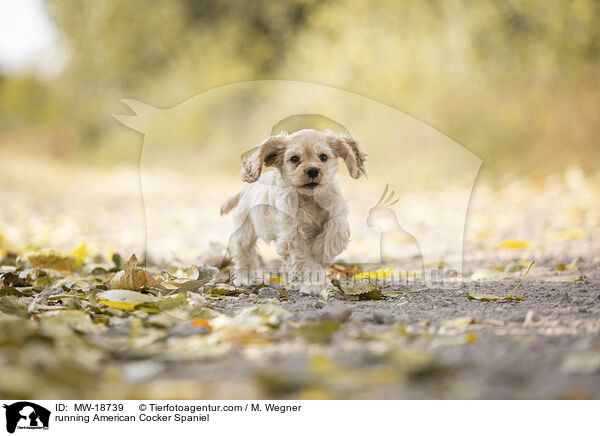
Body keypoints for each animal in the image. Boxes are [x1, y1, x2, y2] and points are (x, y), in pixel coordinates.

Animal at [220, 127, 366, 294]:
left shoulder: (337, 213)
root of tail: (245, 190)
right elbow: (305, 261)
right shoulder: (292, 235)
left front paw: (320, 251)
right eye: (294, 159)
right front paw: (316, 284)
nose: (312, 170)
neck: (310, 199)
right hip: (246, 230)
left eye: (323, 157)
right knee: (244, 252)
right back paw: (247, 279)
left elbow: (336, 230)